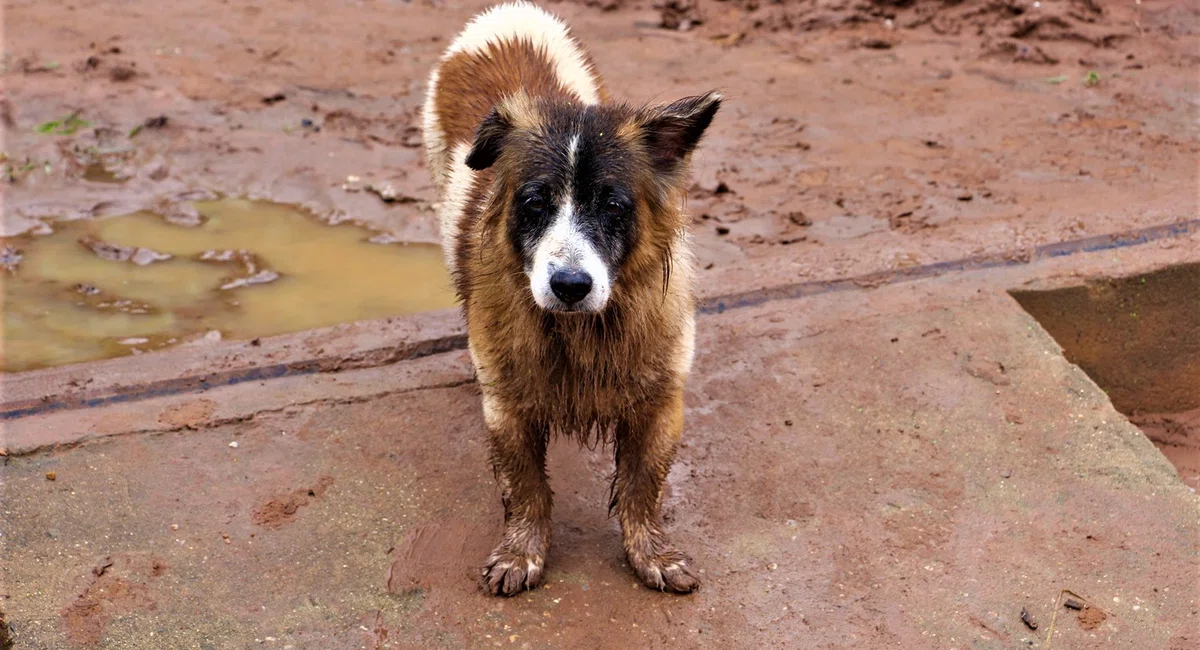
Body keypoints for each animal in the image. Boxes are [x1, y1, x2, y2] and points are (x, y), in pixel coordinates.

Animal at [422, 0, 720, 597]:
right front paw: (521, 554)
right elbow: (525, 488)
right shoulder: (508, 405)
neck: (584, 329)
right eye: (534, 203)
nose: (570, 286)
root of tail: (508, 18)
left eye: (613, 206)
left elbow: (642, 487)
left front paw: (652, 554)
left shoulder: (661, 400)